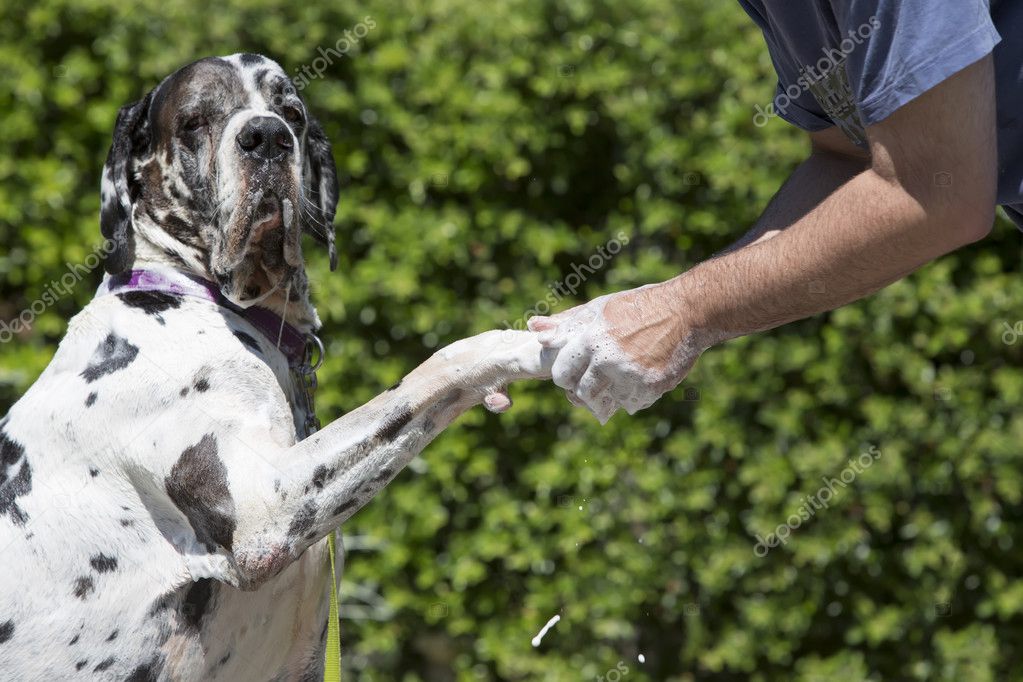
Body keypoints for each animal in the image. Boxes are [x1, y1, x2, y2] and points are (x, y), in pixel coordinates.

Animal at [0, 54, 552, 682]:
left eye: (292, 112)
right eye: (195, 120)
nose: (266, 136)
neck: (201, 296)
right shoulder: (264, 508)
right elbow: (433, 372)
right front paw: (522, 346)